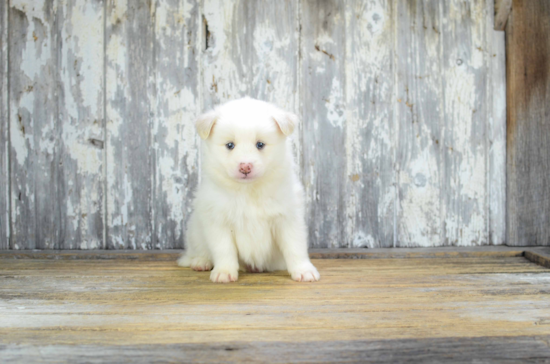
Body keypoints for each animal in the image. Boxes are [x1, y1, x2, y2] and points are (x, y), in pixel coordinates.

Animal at [179, 98, 322, 282]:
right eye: (230, 145)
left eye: (260, 144)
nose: (245, 166)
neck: (248, 190)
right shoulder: (218, 220)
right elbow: (224, 249)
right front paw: (224, 272)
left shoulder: (288, 218)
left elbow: (295, 247)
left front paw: (304, 271)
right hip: (195, 230)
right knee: (197, 250)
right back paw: (200, 262)